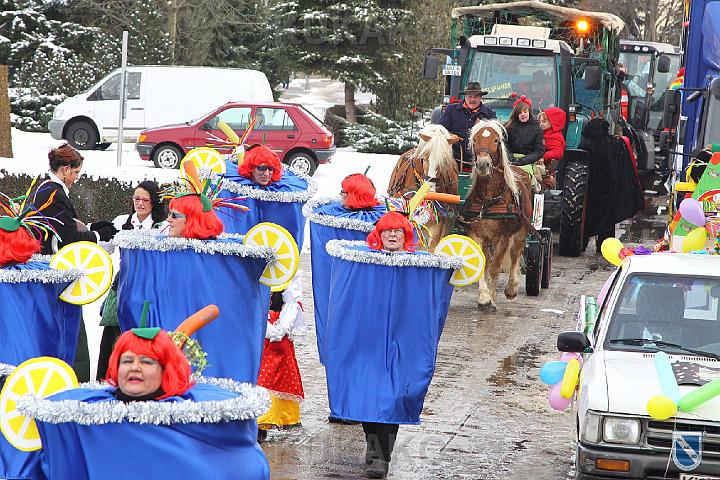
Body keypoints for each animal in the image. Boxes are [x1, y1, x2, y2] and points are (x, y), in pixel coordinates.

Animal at [464, 120, 533, 312]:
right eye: (474, 139)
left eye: (496, 140)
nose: (482, 164)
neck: (489, 200)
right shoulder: (476, 233)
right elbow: (482, 264)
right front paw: (484, 298)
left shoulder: (503, 236)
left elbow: (496, 267)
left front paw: (492, 300)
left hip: (520, 233)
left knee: (515, 255)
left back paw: (511, 289)